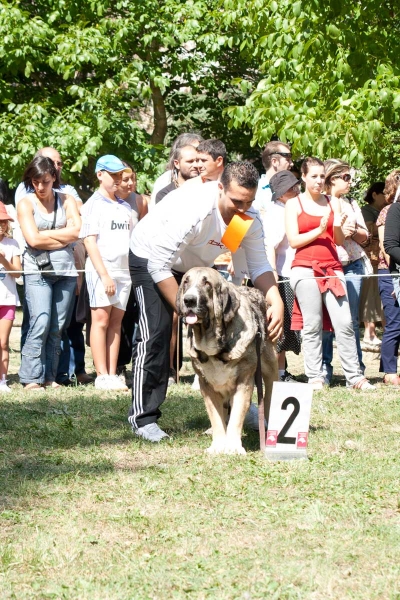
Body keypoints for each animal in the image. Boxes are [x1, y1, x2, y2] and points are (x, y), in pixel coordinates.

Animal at [177, 268, 276, 454]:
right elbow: (216, 418)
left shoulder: (243, 383)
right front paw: (217, 446)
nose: (189, 300)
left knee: (268, 399)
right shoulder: (207, 386)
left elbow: (236, 417)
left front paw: (233, 447)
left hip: (270, 371)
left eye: (207, 283)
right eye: (186, 281)